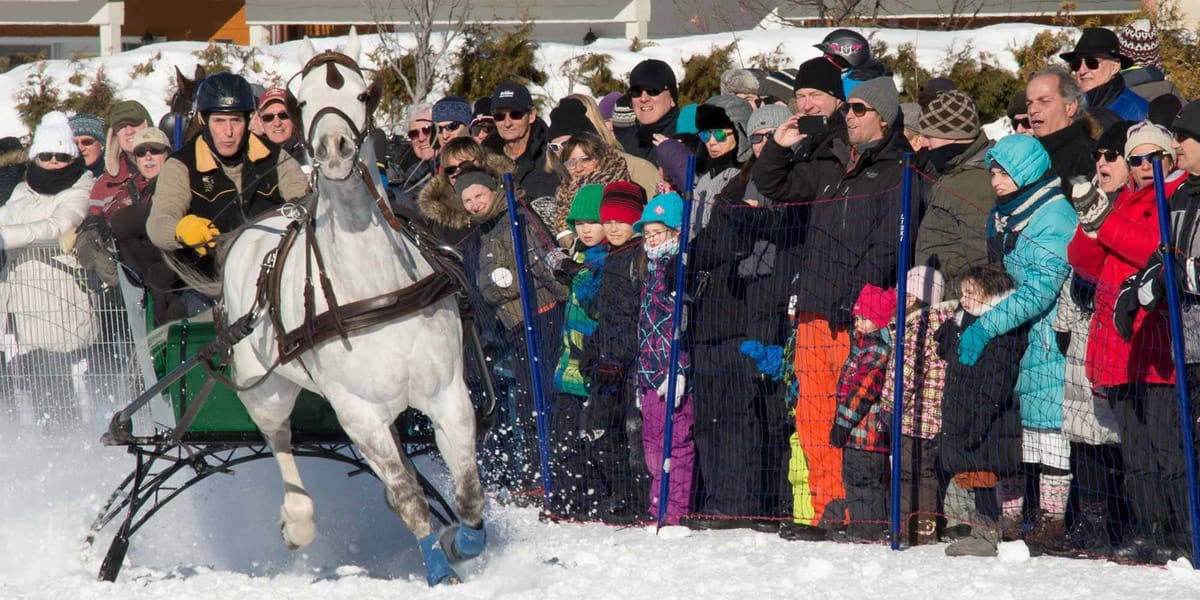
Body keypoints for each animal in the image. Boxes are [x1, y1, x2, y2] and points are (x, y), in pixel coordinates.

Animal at [216, 30, 486, 585]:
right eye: (301, 102)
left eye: (362, 94)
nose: (335, 150)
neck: (374, 284)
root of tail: (256, 225)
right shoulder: (358, 414)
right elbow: (409, 499)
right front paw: (437, 569)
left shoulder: (448, 393)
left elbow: (469, 496)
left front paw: (459, 541)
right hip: (265, 391)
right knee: (280, 440)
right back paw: (297, 520)